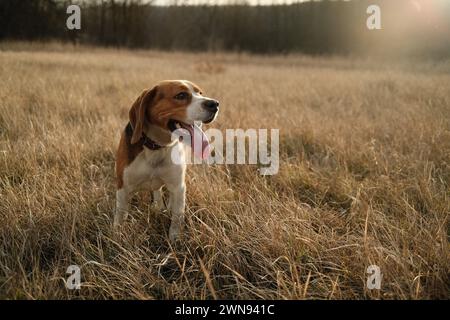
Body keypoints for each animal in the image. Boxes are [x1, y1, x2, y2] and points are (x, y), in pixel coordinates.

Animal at [114, 79, 220, 240]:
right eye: (181, 95)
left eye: (200, 93)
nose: (215, 104)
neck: (157, 147)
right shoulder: (123, 188)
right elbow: (120, 215)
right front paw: (115, 236)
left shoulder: (178, 186)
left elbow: (177, 216)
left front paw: (174, 239)